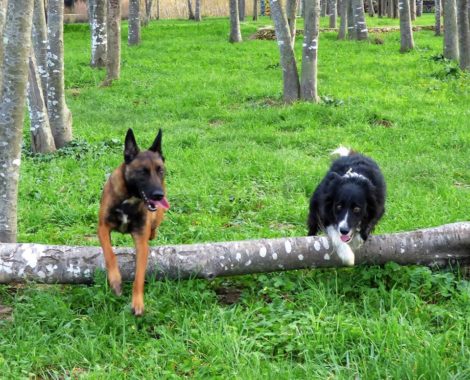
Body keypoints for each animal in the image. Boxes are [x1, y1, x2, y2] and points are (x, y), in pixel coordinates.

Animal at [97, 129, 169, 316]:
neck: (130, 198)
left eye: (160, 170)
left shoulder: (141, 242)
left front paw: (137, 302)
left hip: (158, 215)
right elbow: (110, 254)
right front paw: (115, 281)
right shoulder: (102, 228)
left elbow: (139, 276)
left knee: (154, 229)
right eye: (143, 172)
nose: (159, 195)